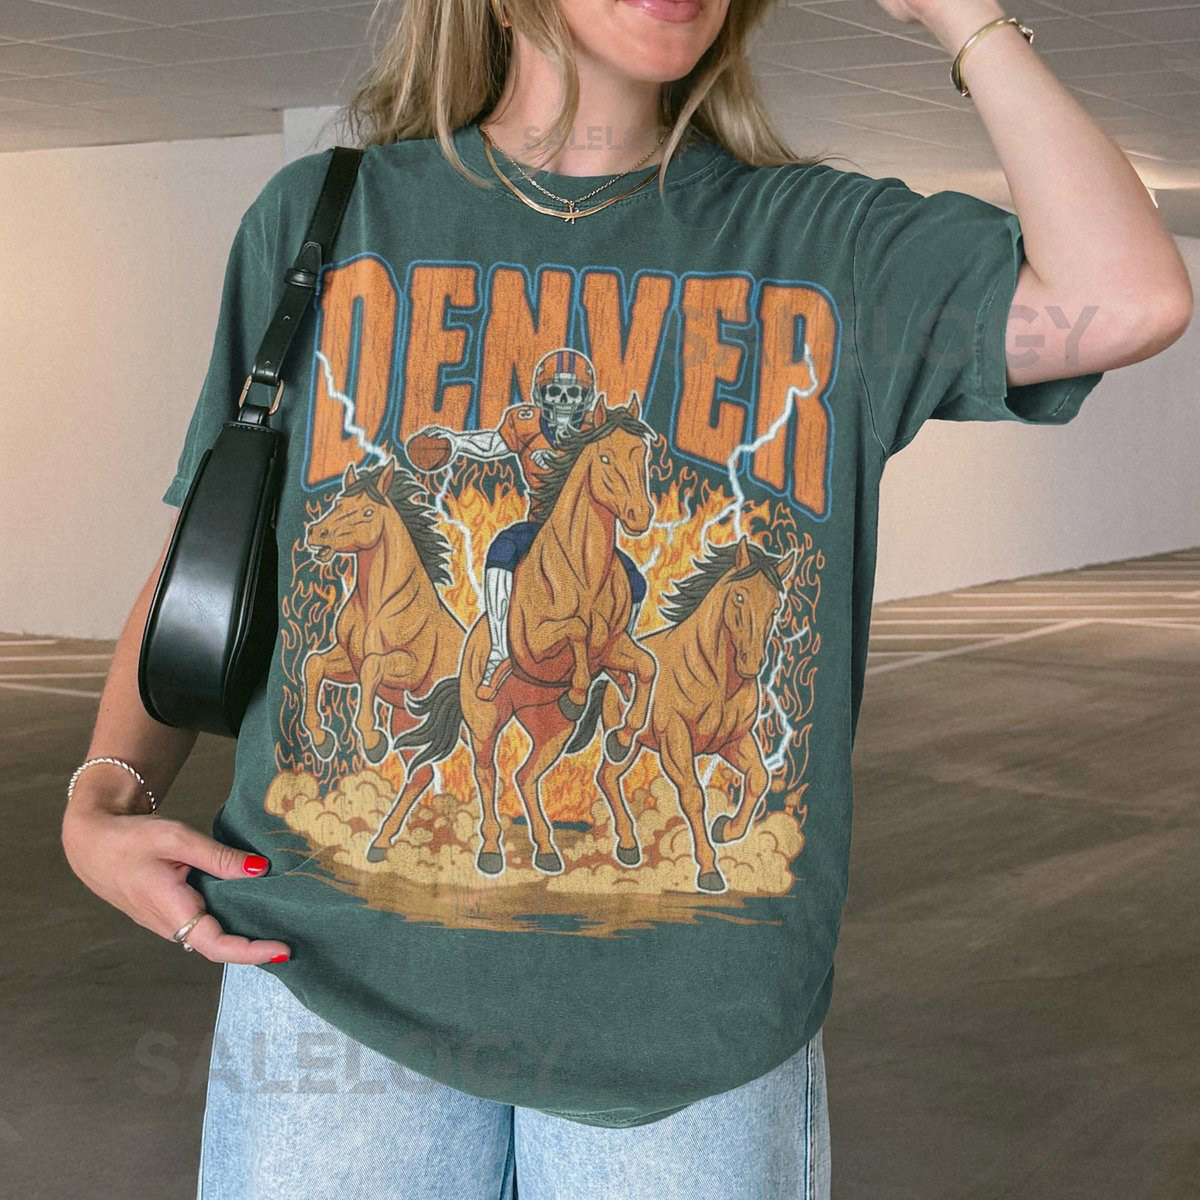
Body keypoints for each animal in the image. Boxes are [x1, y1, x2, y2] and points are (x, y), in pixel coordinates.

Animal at [299, 457, 467, 861]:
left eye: (367, 511)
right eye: (338, 502)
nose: (317, 533)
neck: (377, 605)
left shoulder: (406, 668)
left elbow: (373, 669)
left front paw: (371, 740)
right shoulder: (346, 661)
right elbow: (314, 665)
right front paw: (322, 739)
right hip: (410, 720)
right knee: (421, 774)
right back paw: (380, 842)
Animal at [391, 398, 659, 875]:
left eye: (640, 456)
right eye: (606, 458)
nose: (640, 516)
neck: (583, 565)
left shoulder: (614, 647)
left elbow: (644, 665)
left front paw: (624, 733)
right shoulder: (537, 641)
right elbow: (575, 630)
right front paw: (579, 691)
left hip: (549, 729)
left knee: (526, 775)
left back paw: (547, 849)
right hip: (484, 721)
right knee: (487, 773)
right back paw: (491, 849)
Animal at [574, 535, 796, 893]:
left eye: (775, 607)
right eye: (739, 596)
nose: (752, 663)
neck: (717, 678)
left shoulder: (733, 740)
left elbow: (759, 778)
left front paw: (727, 829)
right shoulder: (675, 742)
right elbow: (693, 796)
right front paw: (708, 871)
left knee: (606, 776)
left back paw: (628, 846)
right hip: (633, 743)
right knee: (609, 773)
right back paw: (628, 844)